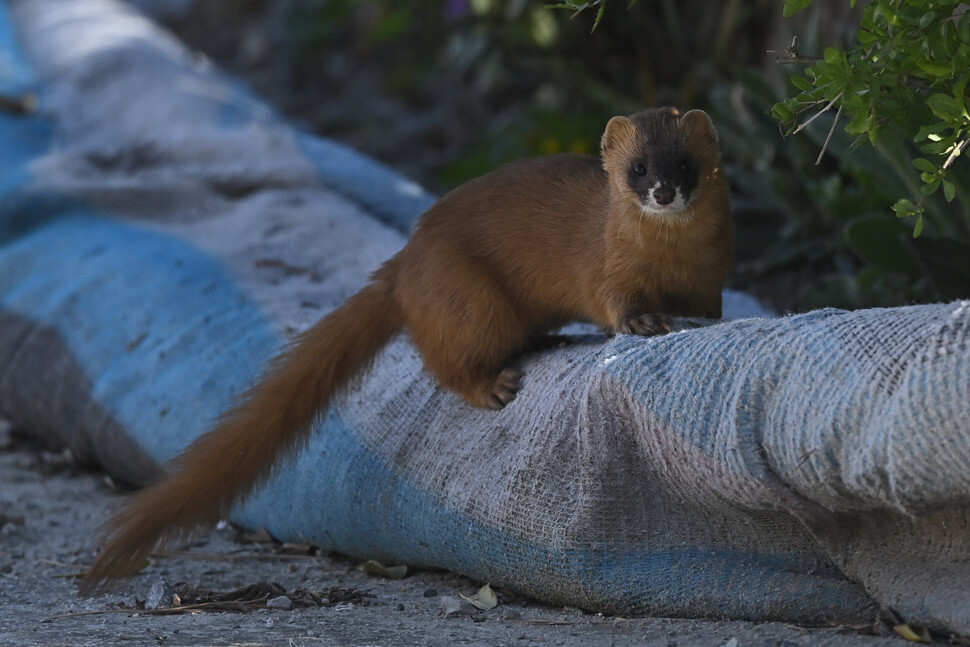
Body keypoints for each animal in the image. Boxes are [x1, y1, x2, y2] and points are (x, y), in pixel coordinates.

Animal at [83, 106, 728, 588]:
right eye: (637, 167)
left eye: (685, 163)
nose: (664, 190)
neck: (671, 263)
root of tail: (404, 261)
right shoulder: (608, 269)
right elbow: (616, 302)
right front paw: (644, 322)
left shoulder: (709, 281)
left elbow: (710, 307)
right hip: (472, 298)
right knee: (445, 360)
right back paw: (493, 383)